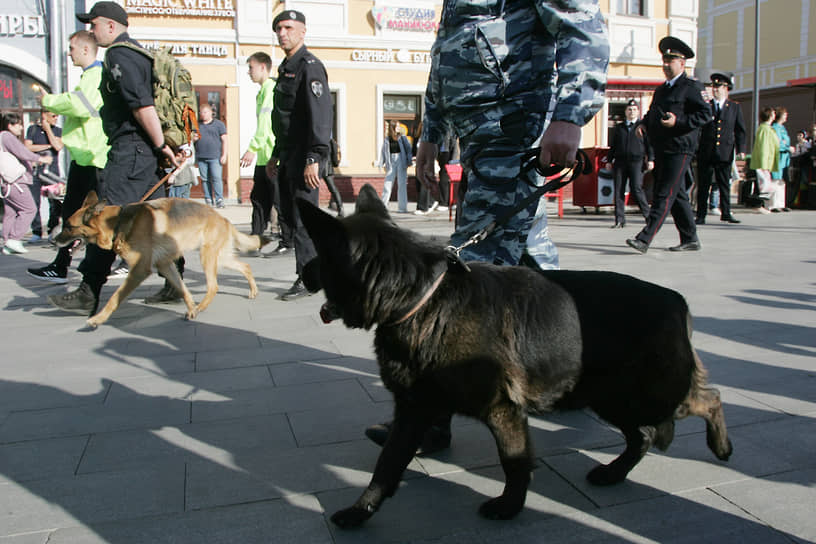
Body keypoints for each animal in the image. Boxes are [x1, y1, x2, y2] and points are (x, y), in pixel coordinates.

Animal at [55, 191, 270, 328]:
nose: (52, 240)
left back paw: (203, 305)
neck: (117, 224)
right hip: (220, 257)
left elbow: (115, 297)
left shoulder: (139, 270)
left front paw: (97, 319)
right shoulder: (165, 265)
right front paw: (191, 309)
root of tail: (223, 219)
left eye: (69, 226)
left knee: (213, 286)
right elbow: (183, 289)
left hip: (207, 256)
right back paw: (251, 291)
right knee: (245, 266)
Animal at [298, 186, 732, 528]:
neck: (420, 300)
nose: (300, 274)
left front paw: (510, 507)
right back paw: (613, 473)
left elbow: (515, 462)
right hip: (613, 399)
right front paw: (361, 511)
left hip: (645, 396)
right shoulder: (413, 412)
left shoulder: (502, 411)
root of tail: (676, 301)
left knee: (708, 399)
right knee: (642, 436)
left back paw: (721, 446)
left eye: (318, 255)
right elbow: (386, 466)